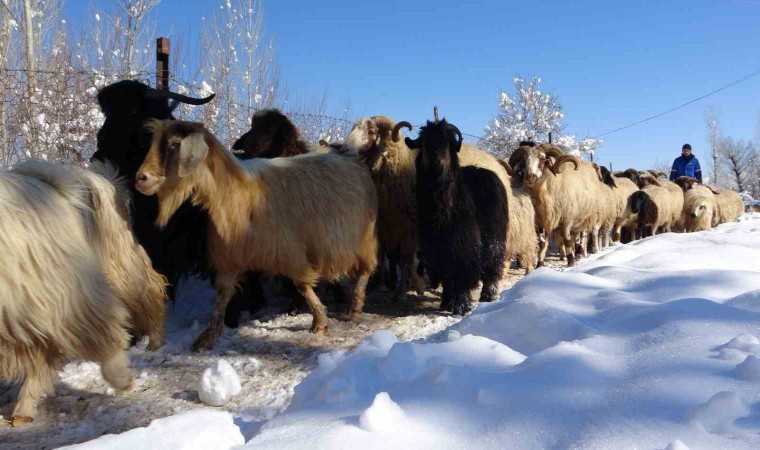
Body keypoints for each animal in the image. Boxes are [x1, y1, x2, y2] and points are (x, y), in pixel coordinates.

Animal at [406, 119, 508, 316]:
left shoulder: (463, 249)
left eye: (447, 142)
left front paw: (461, 306)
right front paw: (447, 303)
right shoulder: (436, 252)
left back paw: (489, 295)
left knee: (493, 266)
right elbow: (448, 280)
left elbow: (460, 277)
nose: (436, 164)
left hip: (496, 239)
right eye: (424, 143)